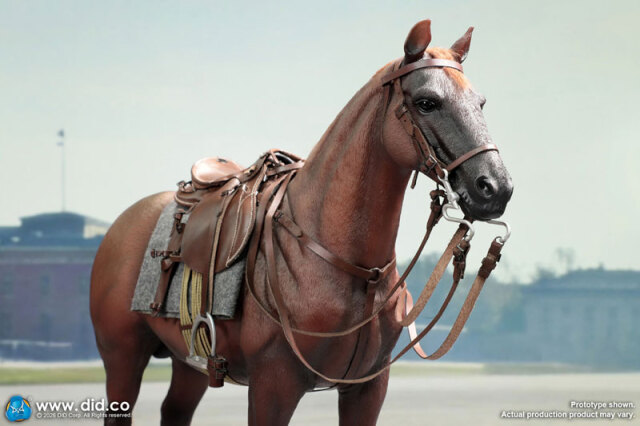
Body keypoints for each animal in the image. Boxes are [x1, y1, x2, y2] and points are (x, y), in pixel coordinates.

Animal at [90, 19, 513, 426]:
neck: (353, 271)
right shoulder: (274, 385)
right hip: (123, 358)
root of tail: (120, 226)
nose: (496, 188)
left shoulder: (367, 389)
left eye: (480, 102)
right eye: (427, 102)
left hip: (189, 363)